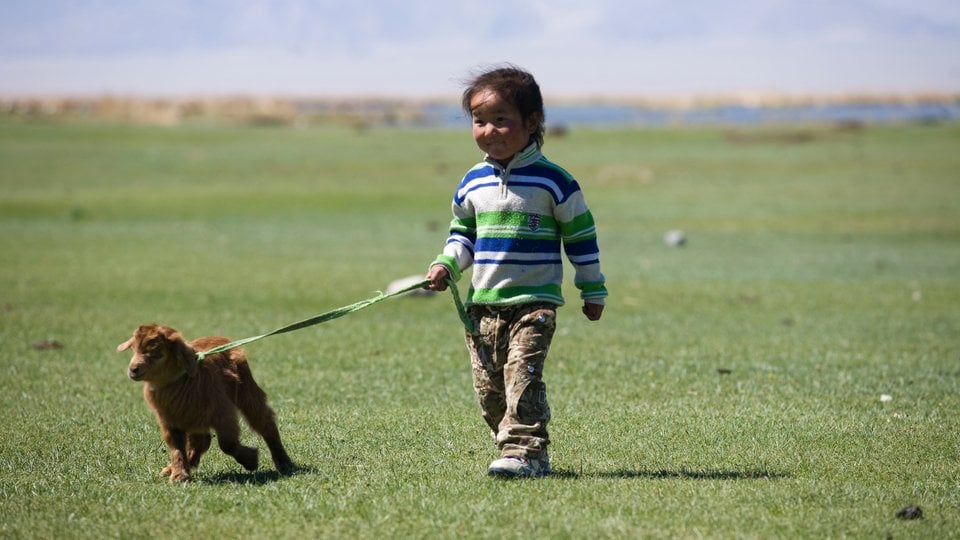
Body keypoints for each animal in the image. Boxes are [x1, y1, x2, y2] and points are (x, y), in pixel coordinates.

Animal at [117, 324, 294, 482]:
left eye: (158, 354)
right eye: (134, 349)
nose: (133, 369)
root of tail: (220, 338)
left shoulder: (223, 413)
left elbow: (227, 444)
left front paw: (251, 460)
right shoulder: (169, 420)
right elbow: (177, 447)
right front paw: (179, 475)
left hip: (248, 392)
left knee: (265, 424)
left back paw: (284, 462)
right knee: (201, 440)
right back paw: (176, 467)